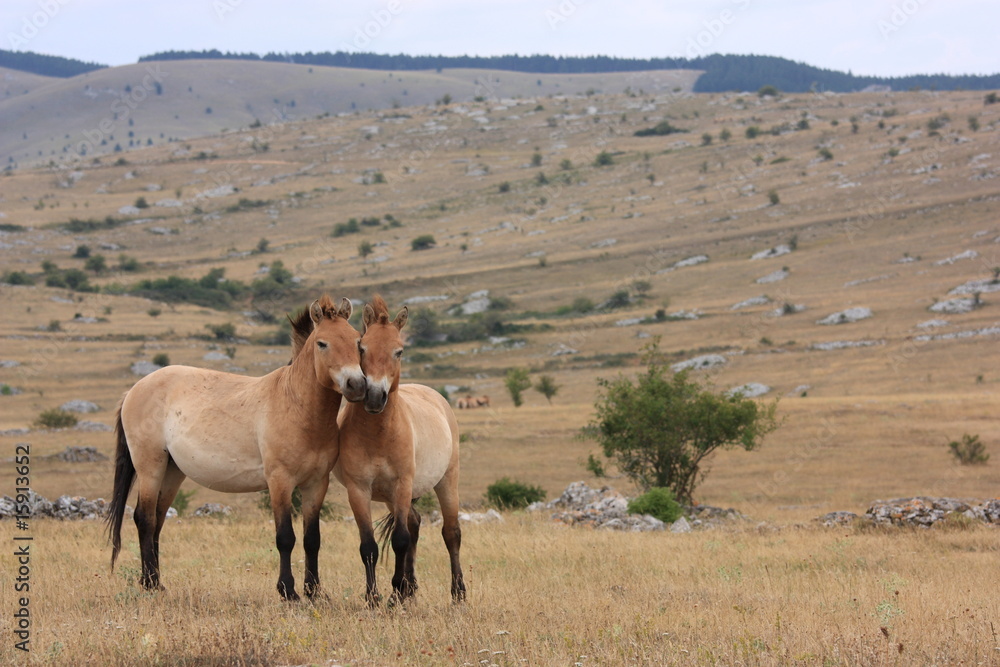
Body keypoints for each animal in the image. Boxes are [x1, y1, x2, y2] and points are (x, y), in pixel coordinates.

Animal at [105, 296, 365, 601]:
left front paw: (314, 591)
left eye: (358, 341)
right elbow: (285, 538)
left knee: (156, 521)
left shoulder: (316, 484)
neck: (295, 405)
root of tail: (134, 389)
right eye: (322, 343)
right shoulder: (280, 482)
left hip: (172, 472)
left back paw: (157, 583)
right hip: (150, 468)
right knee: (144, 519)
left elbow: (312, 539)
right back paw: (149, 584)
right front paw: (288, 591)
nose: (357, 384)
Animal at [334, 295, 466, 606]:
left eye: (399, 351)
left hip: (446, 480)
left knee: (450, 532)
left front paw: (395, 591)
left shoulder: (402, 485)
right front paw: (375, 597)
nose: (373, 396)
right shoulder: (359, 490)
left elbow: (400, 540)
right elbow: (369, 545)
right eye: (362, 346)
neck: (379, 435)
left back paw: (457, 593)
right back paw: (410, 588)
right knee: (415, 524)